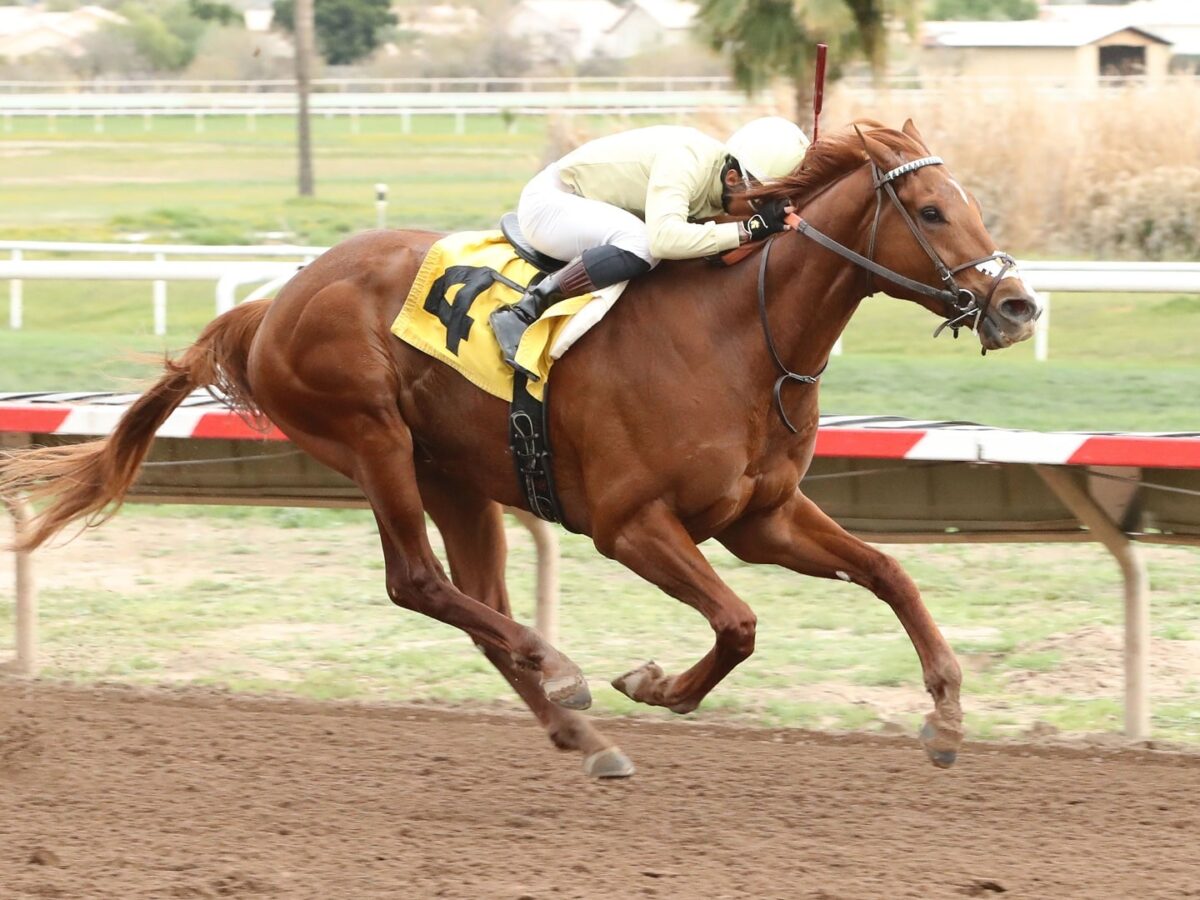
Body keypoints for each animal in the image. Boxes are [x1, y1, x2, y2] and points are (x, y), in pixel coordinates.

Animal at [0, 123, 1041, 777]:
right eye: (934, 212)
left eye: (969, 202)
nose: (1018, 304)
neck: (742, 338)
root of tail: (274, 300)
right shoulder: (630, 524)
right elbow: (740, 623)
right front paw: (656, 684)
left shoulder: (761, 516)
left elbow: (889, 574)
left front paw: (947, 715)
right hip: (371, 436)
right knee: (418, 583)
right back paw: (565, 671)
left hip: (455, 475)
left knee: (478, 607)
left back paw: (582, 735)